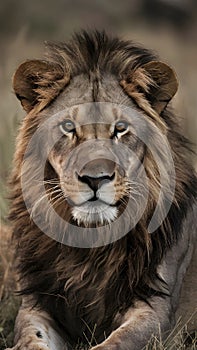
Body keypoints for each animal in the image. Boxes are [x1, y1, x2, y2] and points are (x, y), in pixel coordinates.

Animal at [6, 31, 196, 348]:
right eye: (68, 126)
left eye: (120, 128)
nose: (95, 179)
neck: (91, 241)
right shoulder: (36, 305)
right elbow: (31, 339)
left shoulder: (156, 312)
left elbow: (115, 343)